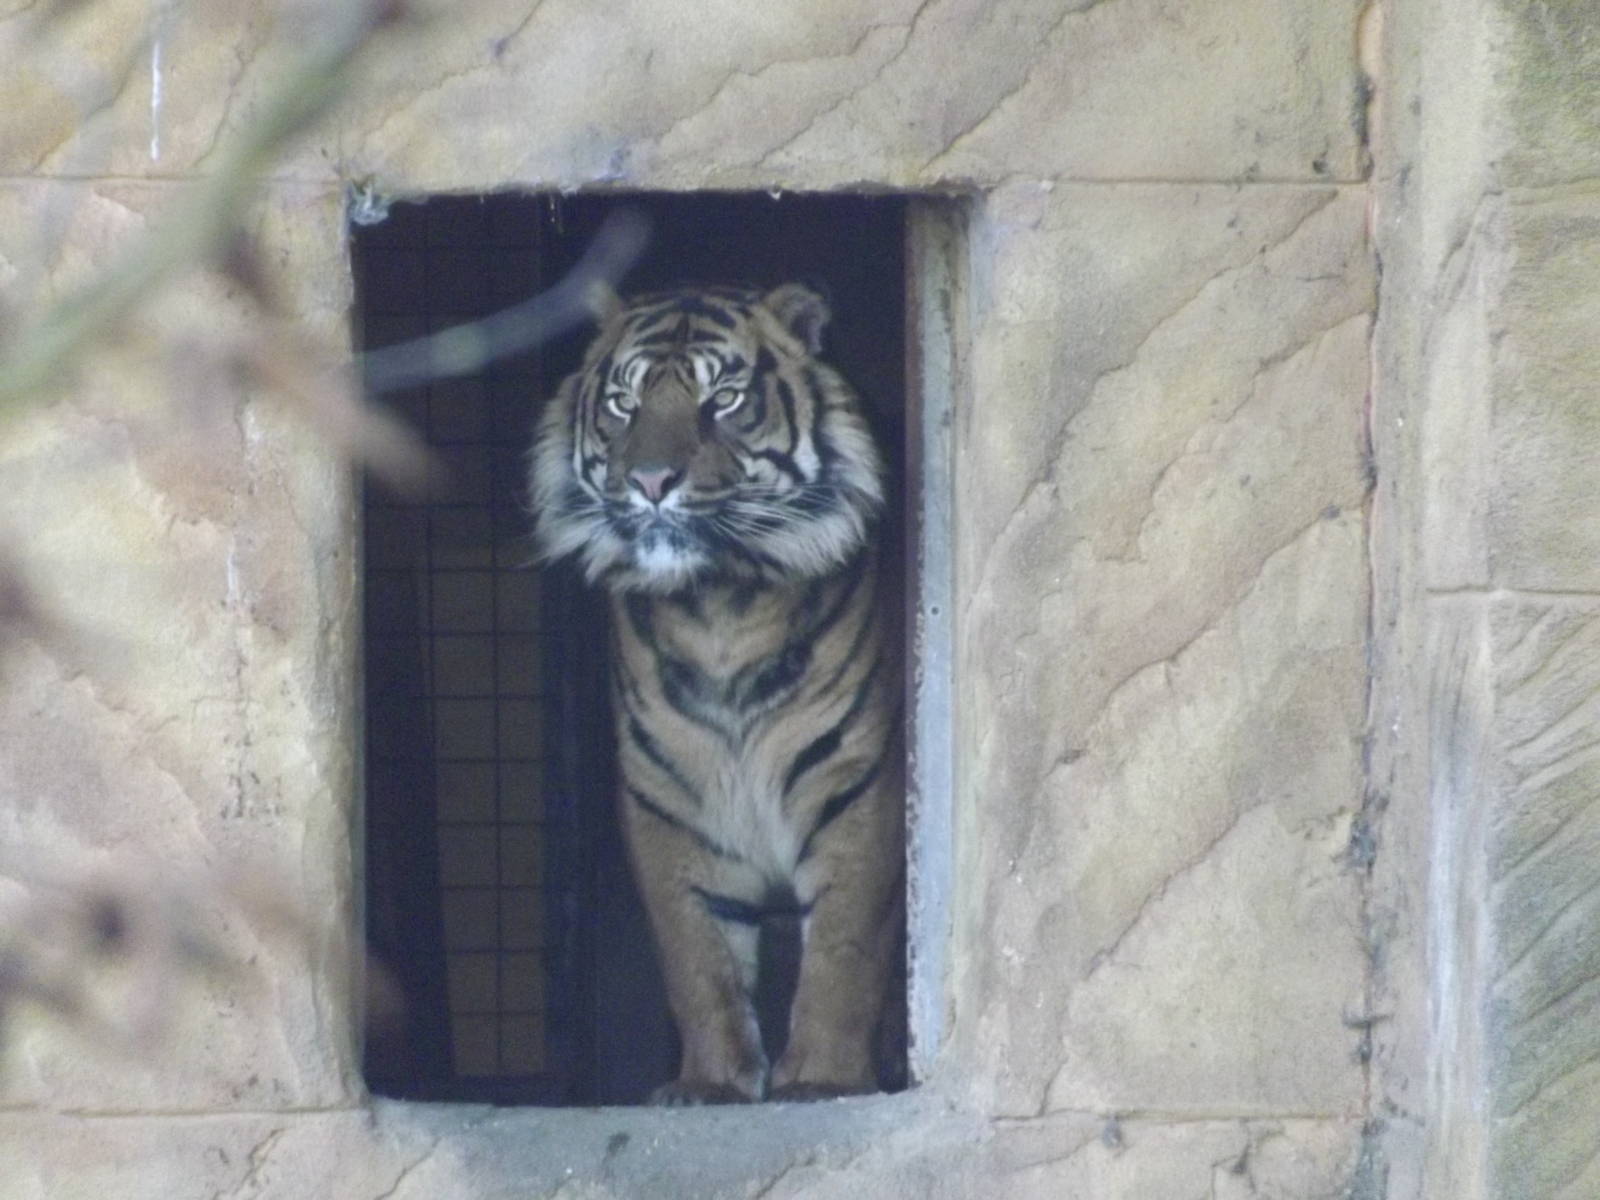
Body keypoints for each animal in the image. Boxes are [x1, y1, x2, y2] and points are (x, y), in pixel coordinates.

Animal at [529, 282, 903, 1104]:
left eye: (723, 400)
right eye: (625, 403)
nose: (651, 482)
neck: (719, 609)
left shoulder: (856, 784)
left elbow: (843, 946)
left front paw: (821, 1078)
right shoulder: (667, 797)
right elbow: (699, 957)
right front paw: (711, 1083)